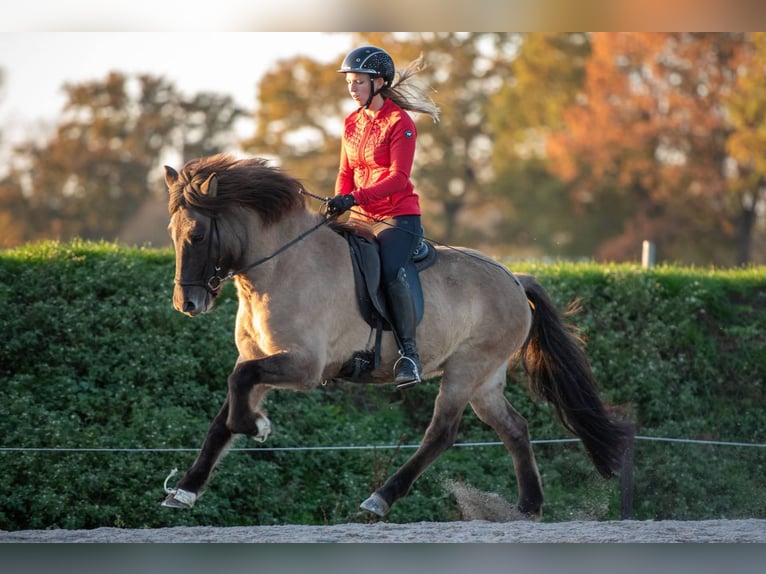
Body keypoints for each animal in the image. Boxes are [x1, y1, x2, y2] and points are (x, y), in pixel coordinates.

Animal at [161, 152, 632, 518]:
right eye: (171, 234)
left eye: (197, 234)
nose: (187, 304)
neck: (279, 267)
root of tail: (515, 279)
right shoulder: (258, 358)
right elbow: (224, 414)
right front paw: (185, 490)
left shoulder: (304, 365)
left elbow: (236, 393)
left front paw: (256, 426)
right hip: (486, 381)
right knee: (514, 427)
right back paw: (528, 506)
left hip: (466, 370)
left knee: (441, 433)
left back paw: (380, 499)